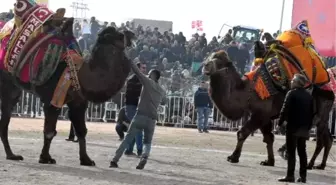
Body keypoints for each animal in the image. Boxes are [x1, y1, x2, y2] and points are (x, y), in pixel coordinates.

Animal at [0, 1, 134, 166]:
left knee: (5, 119)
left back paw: (12, 155)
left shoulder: (78, 101)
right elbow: (50, 131)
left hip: (12, 87)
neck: (78, 74)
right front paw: (45, 158)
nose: (131, 34)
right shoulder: (52, 99)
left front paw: (86, 159)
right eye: (119, 35)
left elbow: (82, 131)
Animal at [201, 47, 334, 169]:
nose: (205, 65)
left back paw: (310, 164)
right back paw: (320, 165)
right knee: (328, 139)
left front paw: (233, 157)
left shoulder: (260, 114)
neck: (247, 90)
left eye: (220, 61)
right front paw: (269, 161)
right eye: (210, 56)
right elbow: (269, 138)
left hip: (321, 113)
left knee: (320, 139)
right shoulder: (265, 117)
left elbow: (242, 133)